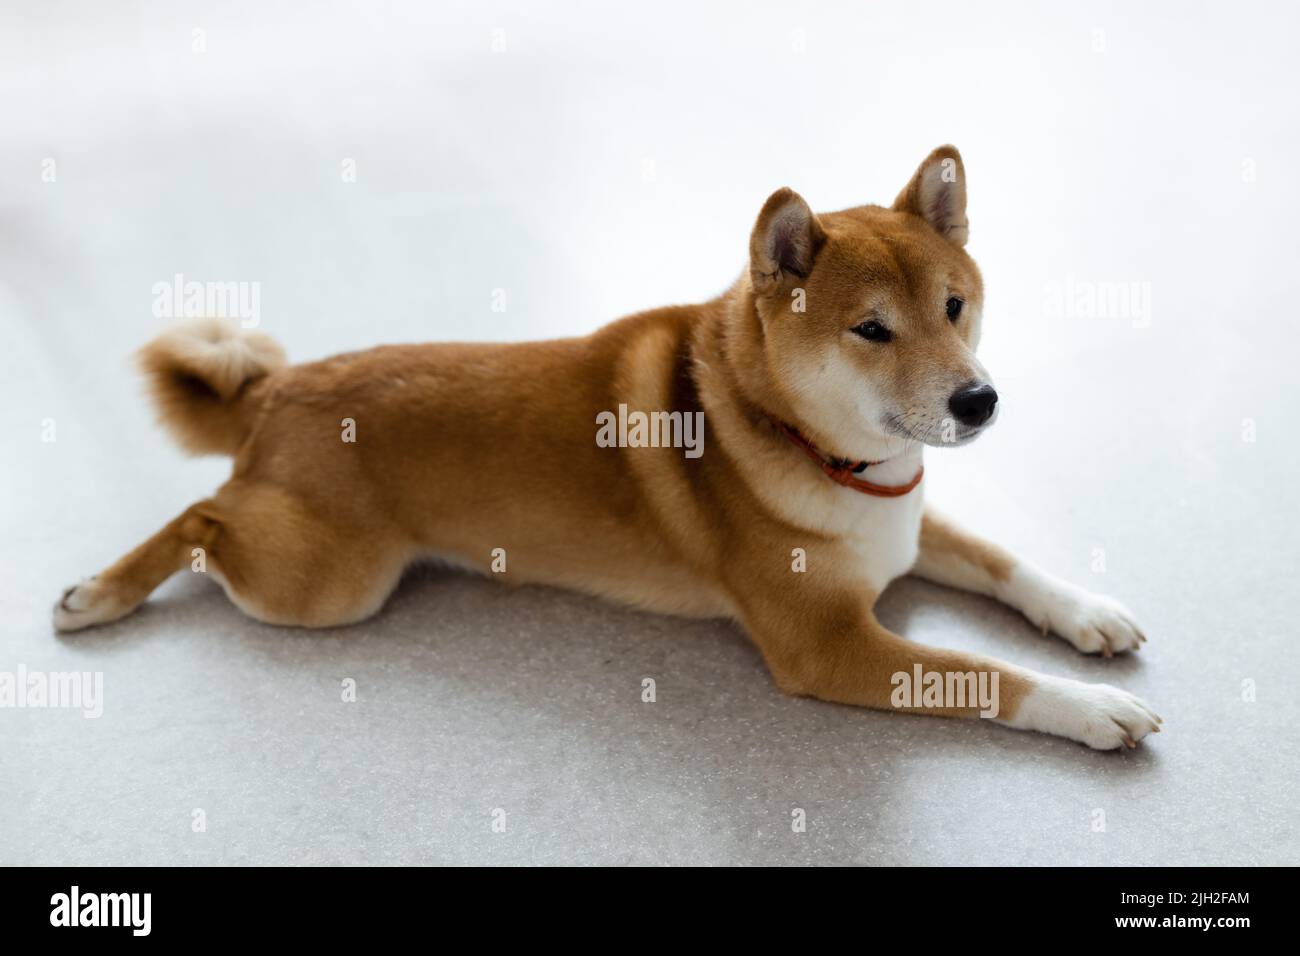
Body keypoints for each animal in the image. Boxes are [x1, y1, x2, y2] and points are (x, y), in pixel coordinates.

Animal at [58, 147, 1159, 749]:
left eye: (955, 306)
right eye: (872, 330)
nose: (979, 400)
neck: (825, 456)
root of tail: (280, 390)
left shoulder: (910, 514)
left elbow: (1008, 563)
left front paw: (1088, 613)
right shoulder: (829, 646)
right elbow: (983, 673)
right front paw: (1090, 708)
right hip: (327, 585)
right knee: (199, 518)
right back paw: (101, 591)